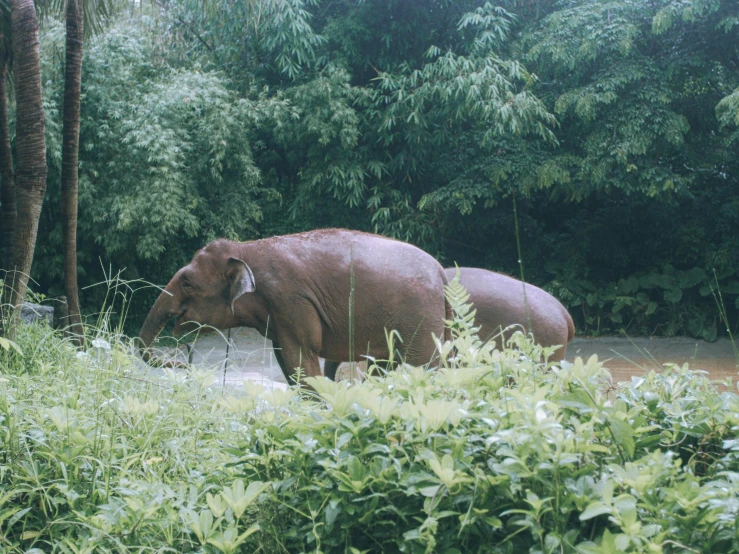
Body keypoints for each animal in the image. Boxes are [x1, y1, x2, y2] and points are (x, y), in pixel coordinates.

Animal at [138, 226, 450, 382]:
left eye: (187, 283)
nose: (181, 363)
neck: (246, 248)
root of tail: (442, 274)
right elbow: (287, 363)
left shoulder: (290, 300)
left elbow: (300, 358)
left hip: (421, 319)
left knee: (425, 368)